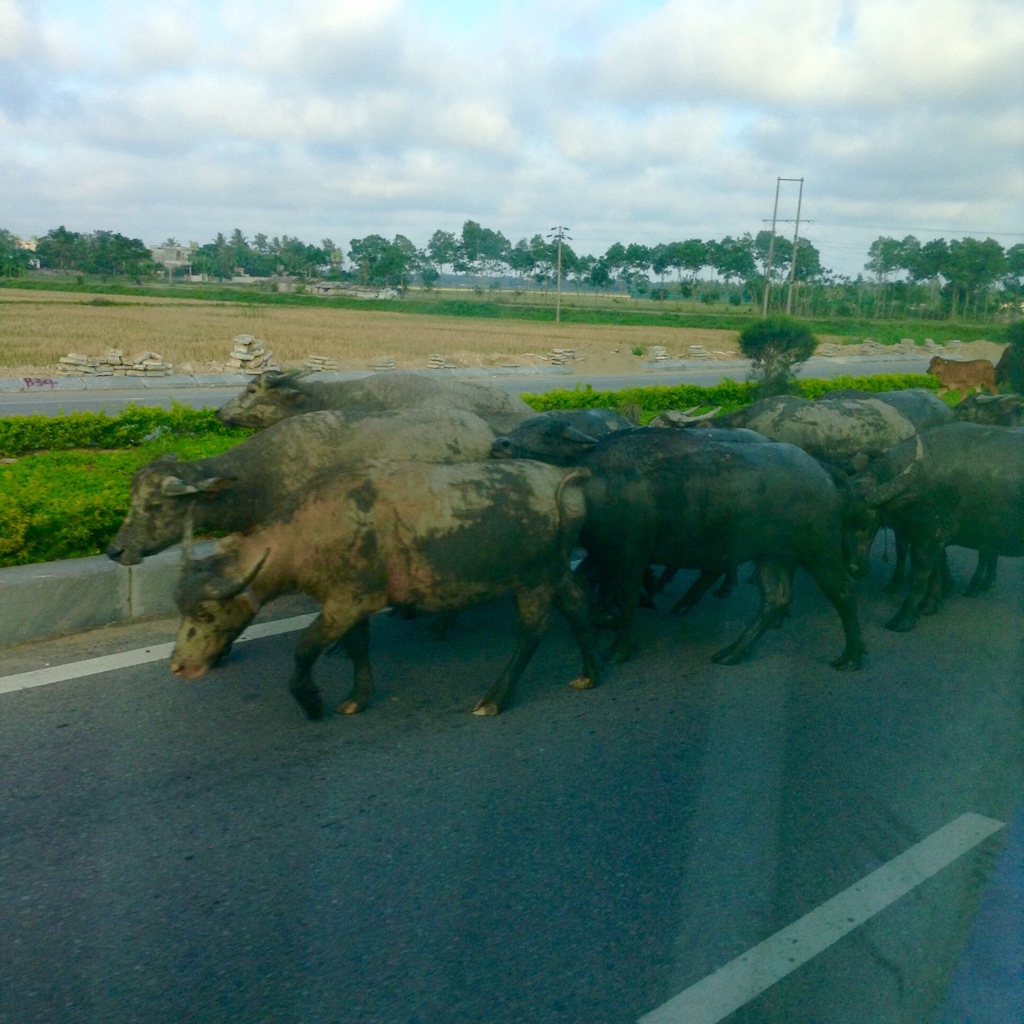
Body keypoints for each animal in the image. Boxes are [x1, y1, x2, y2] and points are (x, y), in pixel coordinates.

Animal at [168, 460, 598, 716]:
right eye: (181, 610)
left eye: (206, 612)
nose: (179, 666)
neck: (307, 532)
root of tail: (563, 479)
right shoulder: (352, 603)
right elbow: (358, 646)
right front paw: (358, 696)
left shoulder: (343, 605)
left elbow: (304, 648)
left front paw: (310, 700)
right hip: (555, 573)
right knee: (578, 610)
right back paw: (590, 672)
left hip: (533, 579)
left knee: (533, 630)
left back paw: (496, 697)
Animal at [847, 419, 1024, 626]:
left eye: (866, 519)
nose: (854, 569)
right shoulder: (929, 536)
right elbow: (936, 569)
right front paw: (930, 603)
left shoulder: (930, 538)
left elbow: (920, 574)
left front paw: (904, 618)